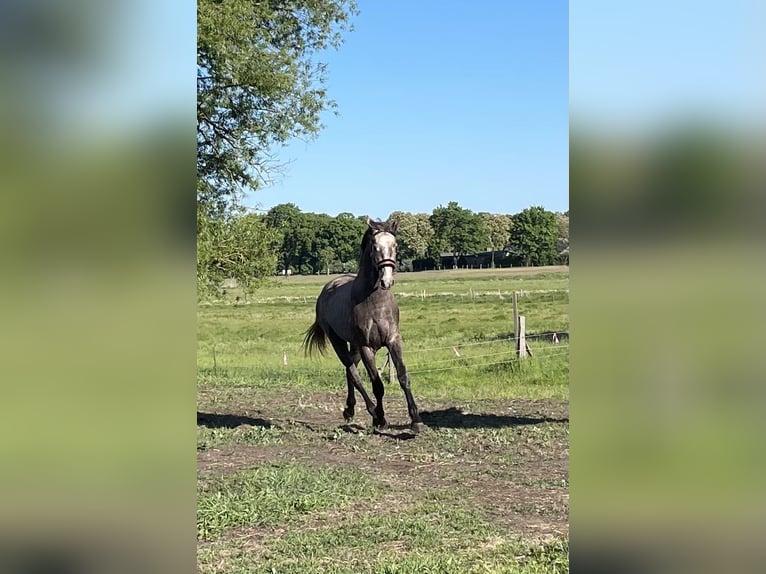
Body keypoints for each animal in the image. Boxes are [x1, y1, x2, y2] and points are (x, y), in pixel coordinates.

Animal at [302, 218, 425, 433]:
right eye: (375, 247)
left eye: (395, 246)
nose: (386, 281)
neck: (375, 302)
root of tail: (328, 288)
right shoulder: (368, 347)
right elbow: (377, 385)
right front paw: (381, 418)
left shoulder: (394, 340)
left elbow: (403, 376)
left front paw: (416, 420)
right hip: (338, 341)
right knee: (353, 373)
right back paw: (371, 412)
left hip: (355, 345)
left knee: (350, 372)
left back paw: (350, 409)